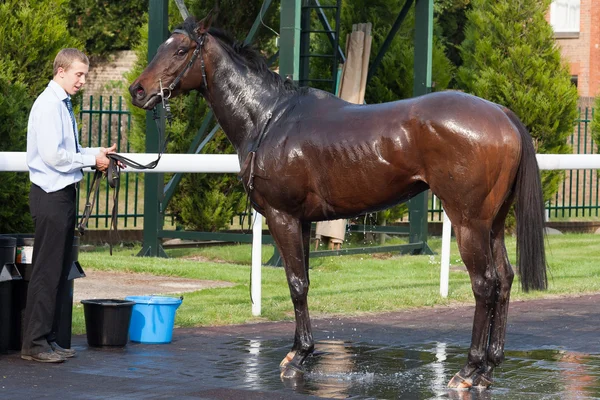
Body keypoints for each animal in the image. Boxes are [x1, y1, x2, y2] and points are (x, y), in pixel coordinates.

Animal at [130, 14, 548, 388]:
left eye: (180, 50)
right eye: (163, 46)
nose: (137, 90)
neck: (269, 118)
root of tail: (503, 116)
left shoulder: (282, 216)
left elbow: (296, 283)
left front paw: (297, 357)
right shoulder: (302, 220)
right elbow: (303, 282)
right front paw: (301, 352)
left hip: (467, 222)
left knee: (485, 284)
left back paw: (468, 371)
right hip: (492, 223)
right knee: (505, 279)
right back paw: (489, 369)